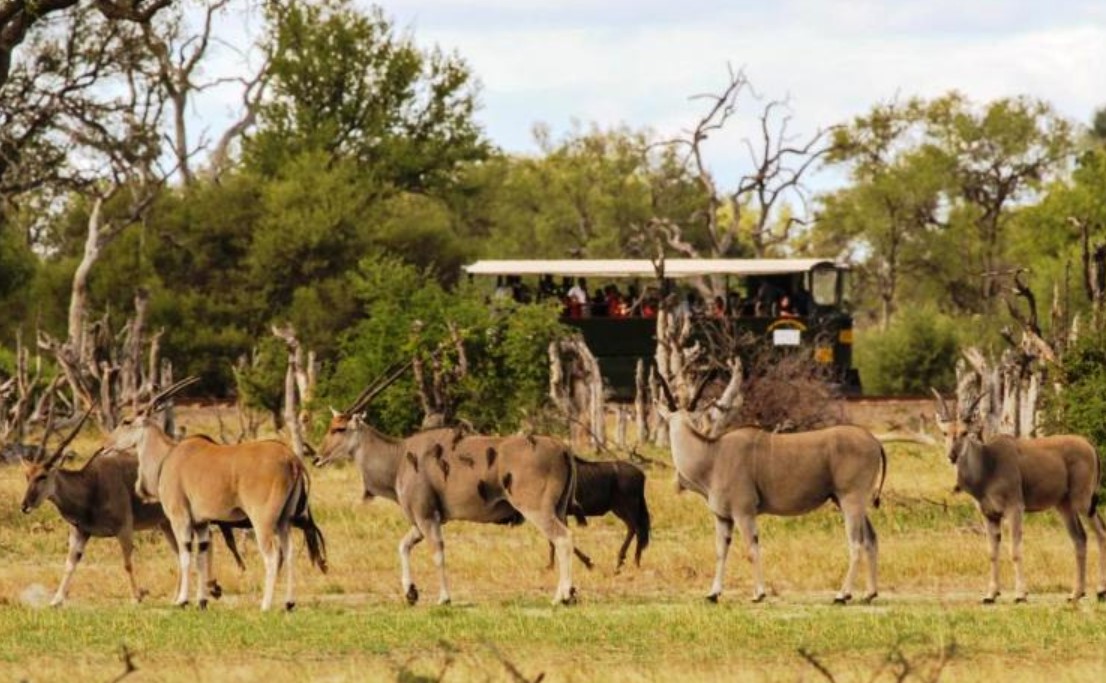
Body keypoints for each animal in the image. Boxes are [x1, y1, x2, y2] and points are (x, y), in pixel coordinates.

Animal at [19, 404, 244, 601]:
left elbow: (127, 563)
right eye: (27, 476)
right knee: (182, 551)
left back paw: (211, 587)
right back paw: (187, 593)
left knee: (203, 542)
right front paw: (56, 600)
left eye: (43, 476)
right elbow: (69, 564)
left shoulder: (124, 530)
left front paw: (137, 596)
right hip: (167, 524)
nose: (25, 505)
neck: (91, 484)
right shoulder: (80, 533)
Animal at [101, 377, 325, 610]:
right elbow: (201, 556)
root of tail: (292, 459)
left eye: (126, 421)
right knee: (289, 554)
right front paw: (202, 601)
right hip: (284, 520)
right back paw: (289, 603)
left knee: (272, 555)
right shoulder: (201, 523)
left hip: (262, 520)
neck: (168, 457)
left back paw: (265, 605)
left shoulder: (180, 518)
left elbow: (185, 554)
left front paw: (182, 600)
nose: (105, 445)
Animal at [314, 364, 579, 605]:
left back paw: (562, 597)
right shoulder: (421, 522)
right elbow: (403, 546)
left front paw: (443, 598)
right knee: (562, 541)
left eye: (339, 428)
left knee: (563, 538)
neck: (399, 457)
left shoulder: (427, 517)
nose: (317, 458)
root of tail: (562, 448)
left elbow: (438, 553)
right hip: (558, 510)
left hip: (537, 510)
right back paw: (565, 594)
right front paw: (410, 592)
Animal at [650, 377, 884, 601]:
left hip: (851, 500)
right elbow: (721, 552)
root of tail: (874, 441)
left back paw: (842, 595)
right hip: (851, 503)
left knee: (856, 543)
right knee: (870, 539)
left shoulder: (744, 513)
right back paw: (869, 593)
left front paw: (759, 594)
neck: (713, 456)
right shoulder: (723, 518)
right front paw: (713, 593)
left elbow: (751, 549)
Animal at [933, 389, 1106, 601]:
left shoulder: (1014, 508)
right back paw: (1076, 593)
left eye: (965, 433)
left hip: (1083, 501)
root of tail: (1089, 444)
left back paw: (1100, 590)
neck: (988, 464)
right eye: (945, 433)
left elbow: (1015, 550)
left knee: (1100, 532)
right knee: (1080, 538)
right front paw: (991, 594)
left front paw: (1020, 594)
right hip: (1064, 506)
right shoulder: (989, 515)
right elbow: (992, 552)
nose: (952, 455)